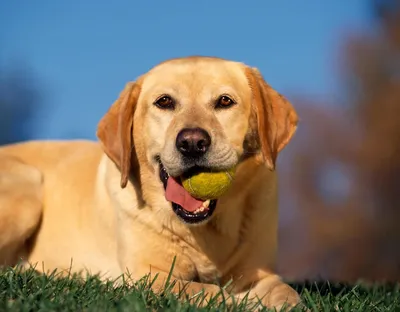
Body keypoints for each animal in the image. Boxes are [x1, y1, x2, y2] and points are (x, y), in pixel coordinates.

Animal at [0, 57, 302, 310]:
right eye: (164, 102)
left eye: (225, 101)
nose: (192, 142)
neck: (204, 230)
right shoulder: (148, 275)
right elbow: (205, 290)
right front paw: (242, 301)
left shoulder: (260, 273)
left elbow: (288, 293)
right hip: (27, 186)